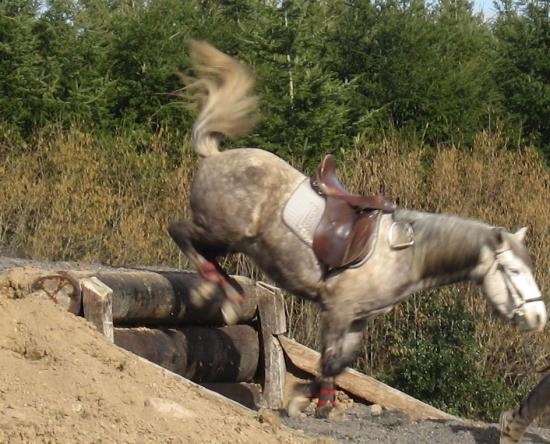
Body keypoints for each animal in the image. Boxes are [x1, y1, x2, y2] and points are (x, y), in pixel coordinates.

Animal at [170, 40, 548, 416]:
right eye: (513, 271)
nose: (538, 317)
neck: (406, 254)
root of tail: (215, 156)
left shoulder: (358, 319)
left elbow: (338, 364)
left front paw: (315, 399)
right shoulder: (338, 310)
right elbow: (327, 361)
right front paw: (307, 402)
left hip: (233, 240)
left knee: (200, 249)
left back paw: (226, 295)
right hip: (223, 231)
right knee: (181, 233)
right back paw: (222, 294)